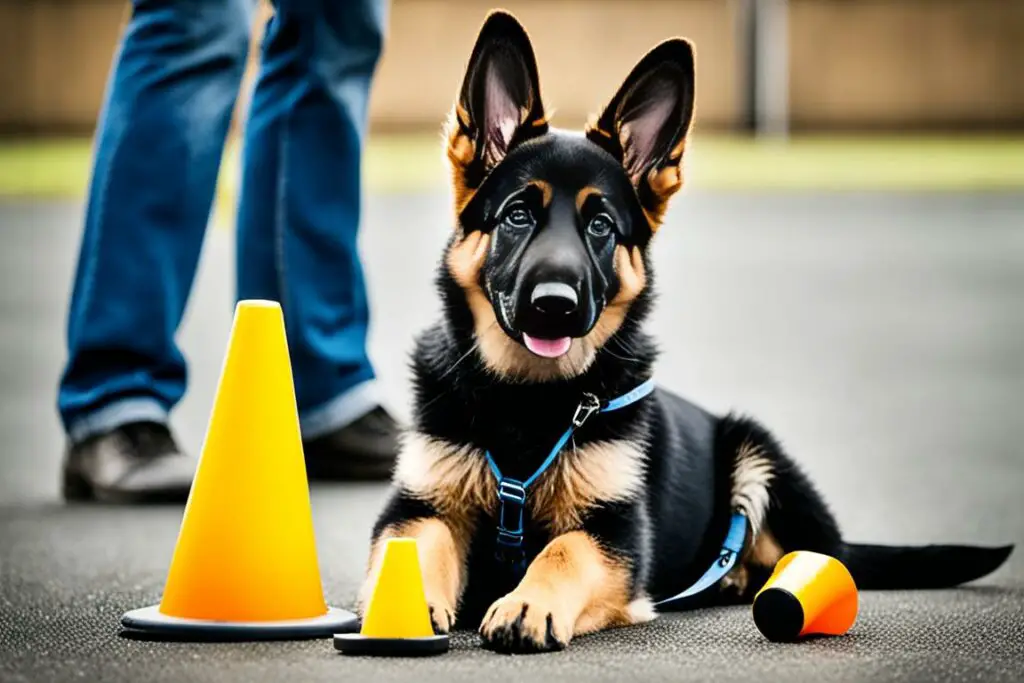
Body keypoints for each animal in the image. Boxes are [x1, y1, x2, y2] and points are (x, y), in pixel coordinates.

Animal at [358, 9, 1007, 651]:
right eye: (517, 214)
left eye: (600, 225)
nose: (555, 306)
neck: (530, 401)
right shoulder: (418, 505)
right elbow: (415, 548)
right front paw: (407, 608)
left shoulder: (616, 531)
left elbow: (564, 550)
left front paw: (526, 603)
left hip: (754, 454)